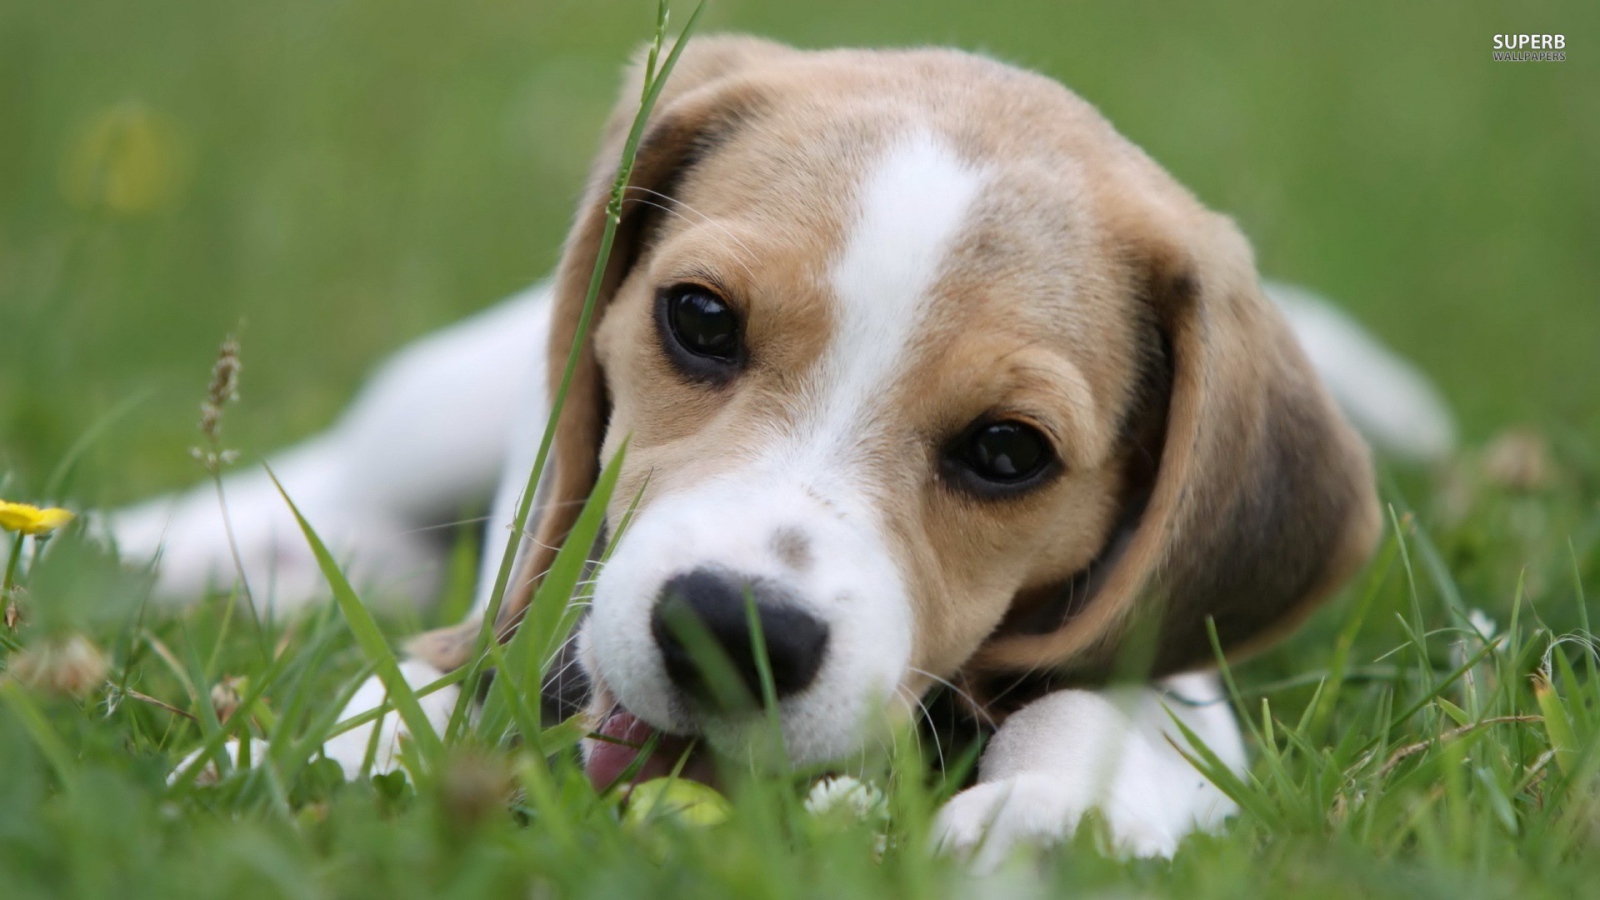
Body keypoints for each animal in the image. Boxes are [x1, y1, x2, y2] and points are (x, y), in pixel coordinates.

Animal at [118, 38, 1459, 864]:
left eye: (1007, 452)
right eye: (701, 320)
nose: (730, 627)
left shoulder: (1167, 676)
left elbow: (1094, 710)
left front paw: (1038, 818)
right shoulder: (506, 630)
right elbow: (413, 696)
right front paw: (321, 768)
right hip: (440, 405)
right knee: (329, 484)